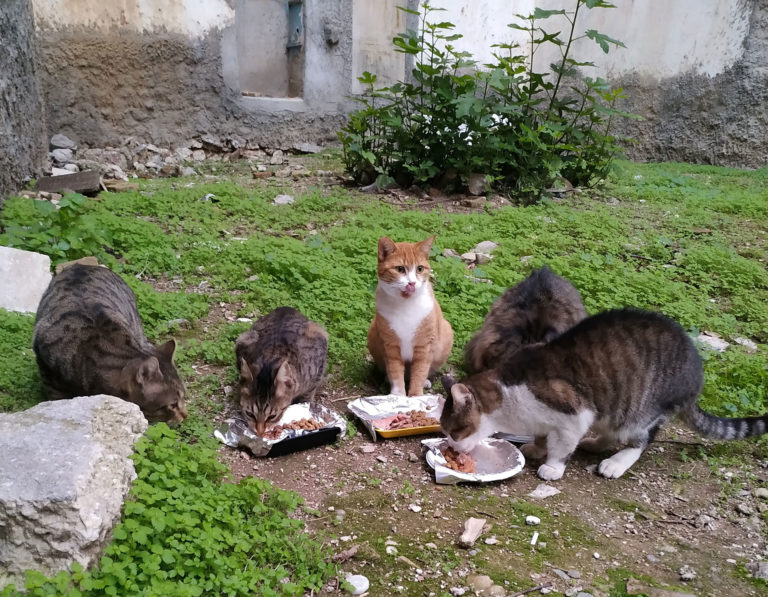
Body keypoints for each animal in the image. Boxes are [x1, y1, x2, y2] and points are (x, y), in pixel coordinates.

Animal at [32, 262, 189, 424]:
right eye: (172, 404)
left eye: (184, 396)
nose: (186, 414)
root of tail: (82, 264)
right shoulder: (45, 366)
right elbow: (56, 397)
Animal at [368, 234, 452, 396]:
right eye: (400, 269)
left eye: (419, 269)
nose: (412, 283)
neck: (405, 305)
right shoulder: (391, 346)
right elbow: (395, 372)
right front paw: (398, 396)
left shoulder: (424, 346)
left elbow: (419, 372)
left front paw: (415, 396)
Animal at [440, 308, 764, 480]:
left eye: (455, 431)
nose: (452, 447)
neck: (509, 401)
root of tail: (697, 376)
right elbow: (544, 435)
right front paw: (537, 447)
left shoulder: (574, 413)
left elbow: (561, 446)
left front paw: (551, 466)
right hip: (614, 409)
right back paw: (596, 444)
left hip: (639, 411)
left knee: (642, 439)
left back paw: (615, 463)